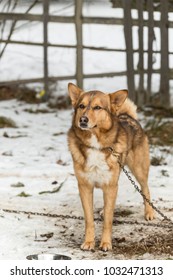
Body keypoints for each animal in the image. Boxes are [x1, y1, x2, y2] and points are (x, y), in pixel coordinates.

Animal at [67, 82, 154, 252]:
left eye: (97, 107)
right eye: (81, 106)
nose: (83, 120)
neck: (96, 144)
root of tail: (128, 116)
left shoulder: (111, 185)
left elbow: (108, 219)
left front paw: (106, 243)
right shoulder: (85, 186)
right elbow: (89, 219)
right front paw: (89, 242)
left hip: (138, 169)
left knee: (145, 189)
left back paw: (149, 212)